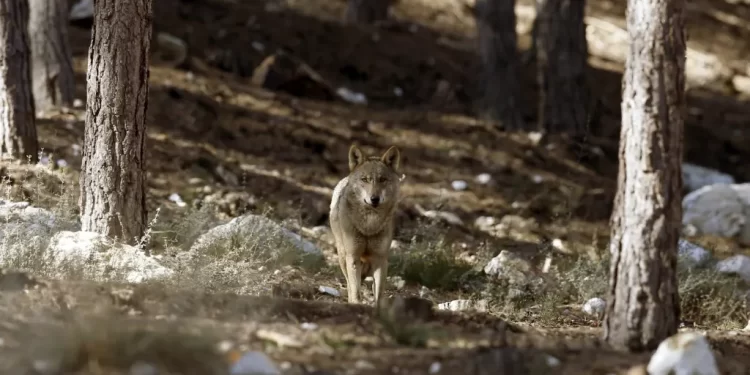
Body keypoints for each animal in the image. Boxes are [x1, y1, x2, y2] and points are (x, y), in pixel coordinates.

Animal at [332, 145, 402, 306]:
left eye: (382, 179)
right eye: (365, 179)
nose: (374, 199)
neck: (369, 226)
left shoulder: (380, 259)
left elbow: (379, 295)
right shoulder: (353, 257)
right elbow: (355, 291)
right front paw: (356, 304)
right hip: (343, 257)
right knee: (349, 284)